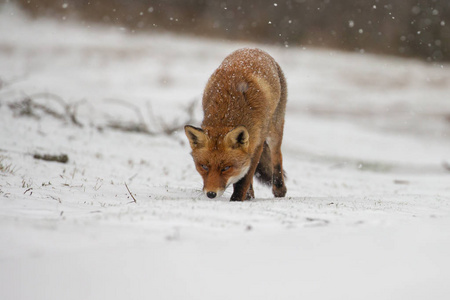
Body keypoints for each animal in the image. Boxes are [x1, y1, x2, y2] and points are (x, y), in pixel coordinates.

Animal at [184, 47, 286, 202]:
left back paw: (279, 189)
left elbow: (244, 178)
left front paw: (237, 199)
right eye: (204, 167)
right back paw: (250, 196)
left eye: (226, 168)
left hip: (274, 129)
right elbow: (244, 176)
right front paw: (246, 195)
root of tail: (254, 49)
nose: (211, 194)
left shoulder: (257, 145)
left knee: (277, 155)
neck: (228, 110)